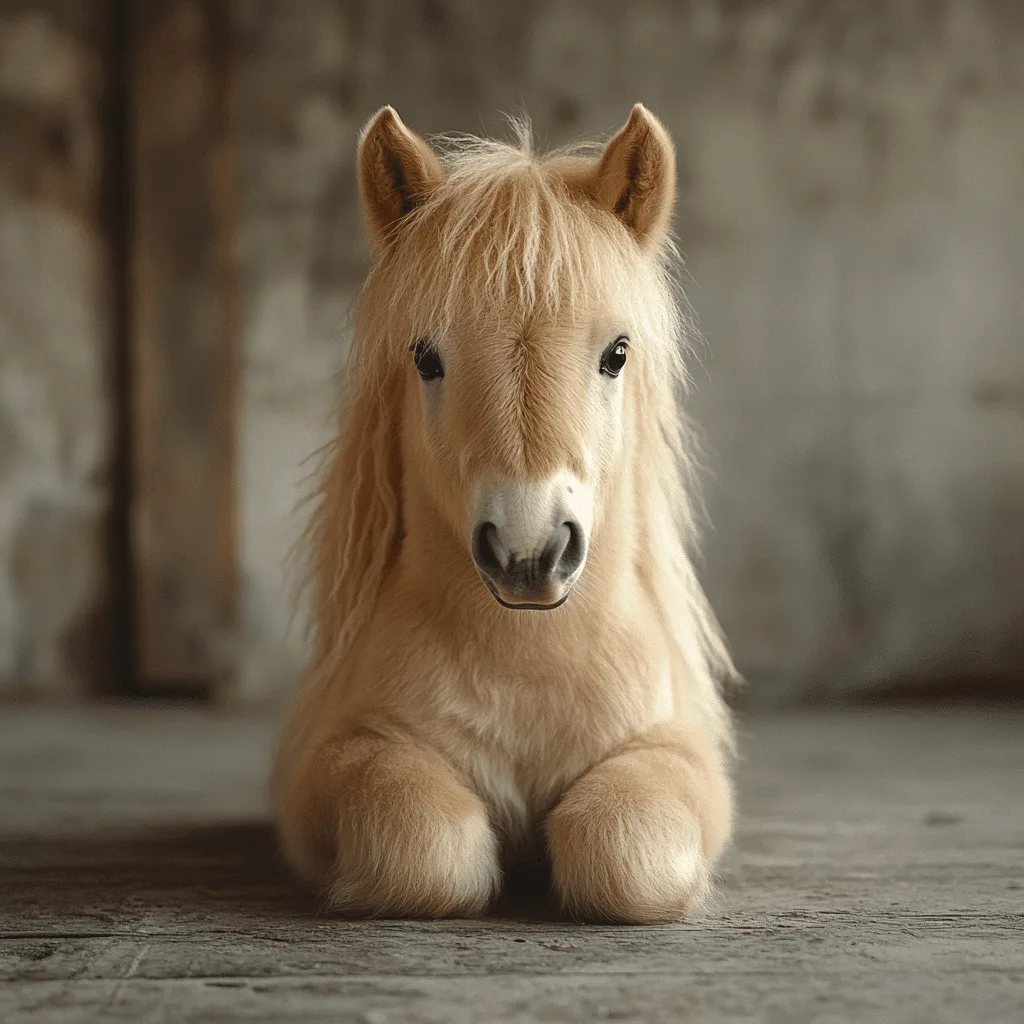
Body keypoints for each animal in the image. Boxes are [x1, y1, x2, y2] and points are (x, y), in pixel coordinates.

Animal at [272, 103, 737, 924]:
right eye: (426, 356)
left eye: (617, 353)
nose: (529, 554)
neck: (529, 663)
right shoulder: (344, 759)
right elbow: (426, 847)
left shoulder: (671, 753)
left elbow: (626, 848)